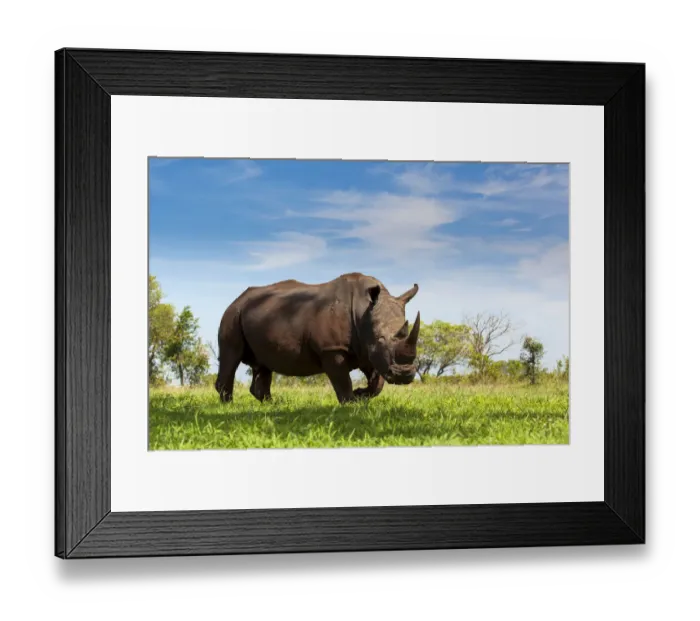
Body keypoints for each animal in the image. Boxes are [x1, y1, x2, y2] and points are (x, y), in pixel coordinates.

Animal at [215, 272, 420, 404]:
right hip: (232, 314)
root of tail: (237, 299)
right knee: (231, 355)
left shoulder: (365, 349)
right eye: (380, 340)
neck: (363, 309)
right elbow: (342, 380)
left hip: (258, 316)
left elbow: (377, 383)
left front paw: (361, 394)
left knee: (263, 363)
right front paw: (351, 403)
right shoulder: (332, 348)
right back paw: (229, 405)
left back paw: (273, 404)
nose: (404, 375)